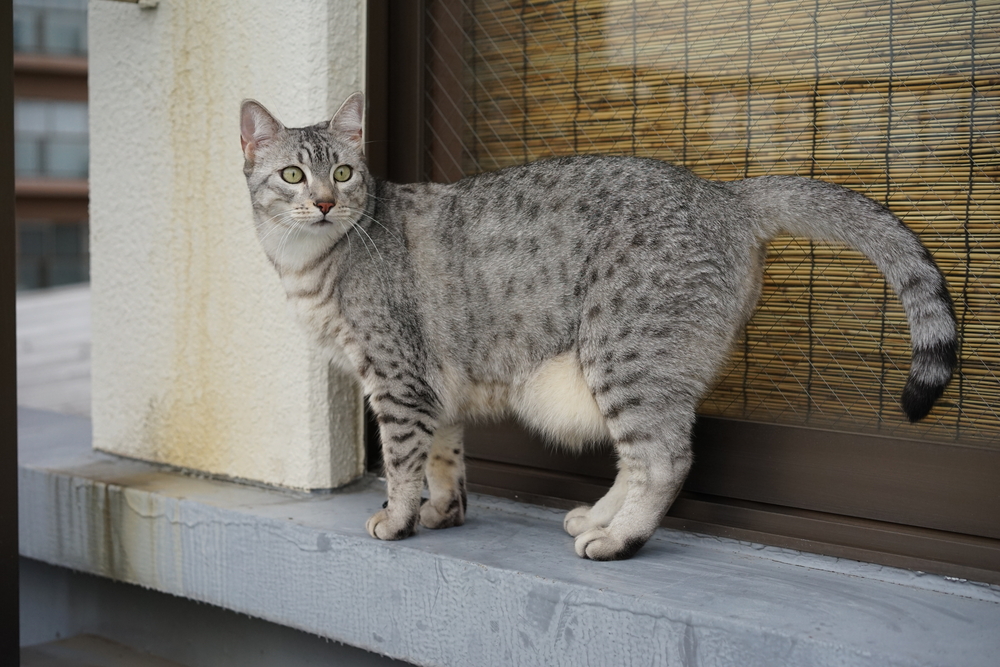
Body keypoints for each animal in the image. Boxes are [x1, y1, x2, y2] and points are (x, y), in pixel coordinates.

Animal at [238, 91, 956, 560]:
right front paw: (441, 511)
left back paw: (619, 537)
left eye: (343, 171)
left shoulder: (396, 379)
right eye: (293, 174)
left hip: (624, 351)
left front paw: (397, 516)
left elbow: (402, 459)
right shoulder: (433, 384)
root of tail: (724, 194)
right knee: (636, 456)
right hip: (640, 365)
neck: (308, 266)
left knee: (664, 456)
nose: (323, 202)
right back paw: (600, 517)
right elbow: (445, 456)